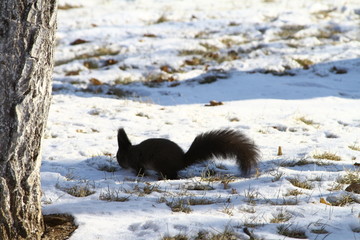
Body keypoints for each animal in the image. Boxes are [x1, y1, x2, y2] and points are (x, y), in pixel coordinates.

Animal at [116, 128, 260, 179]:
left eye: (118, 157)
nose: (120, 165)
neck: (130, 153)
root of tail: (181, 161)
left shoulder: (137, 163)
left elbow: (140, 171)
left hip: (161, 164)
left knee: (172, 175)